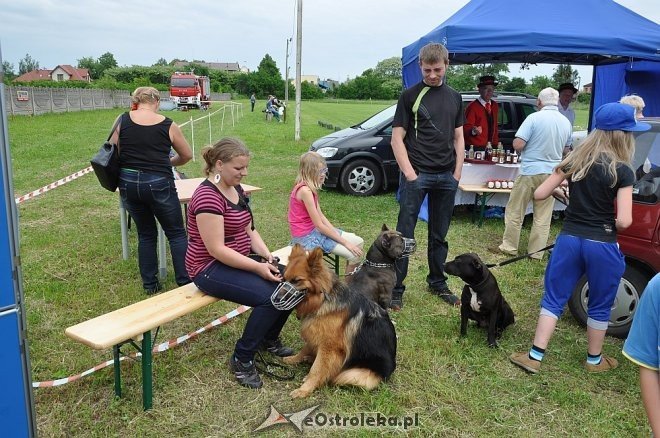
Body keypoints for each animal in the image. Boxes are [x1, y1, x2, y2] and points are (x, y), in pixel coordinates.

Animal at [280, 245, 394, 398]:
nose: (275, 298)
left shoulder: (329, 347)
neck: (323, 299)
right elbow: (305, 349)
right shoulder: (317, 333)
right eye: (284, 279)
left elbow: (316, 369)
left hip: (355, 375)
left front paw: (305, 389)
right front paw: (294, 359)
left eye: (296, 280)